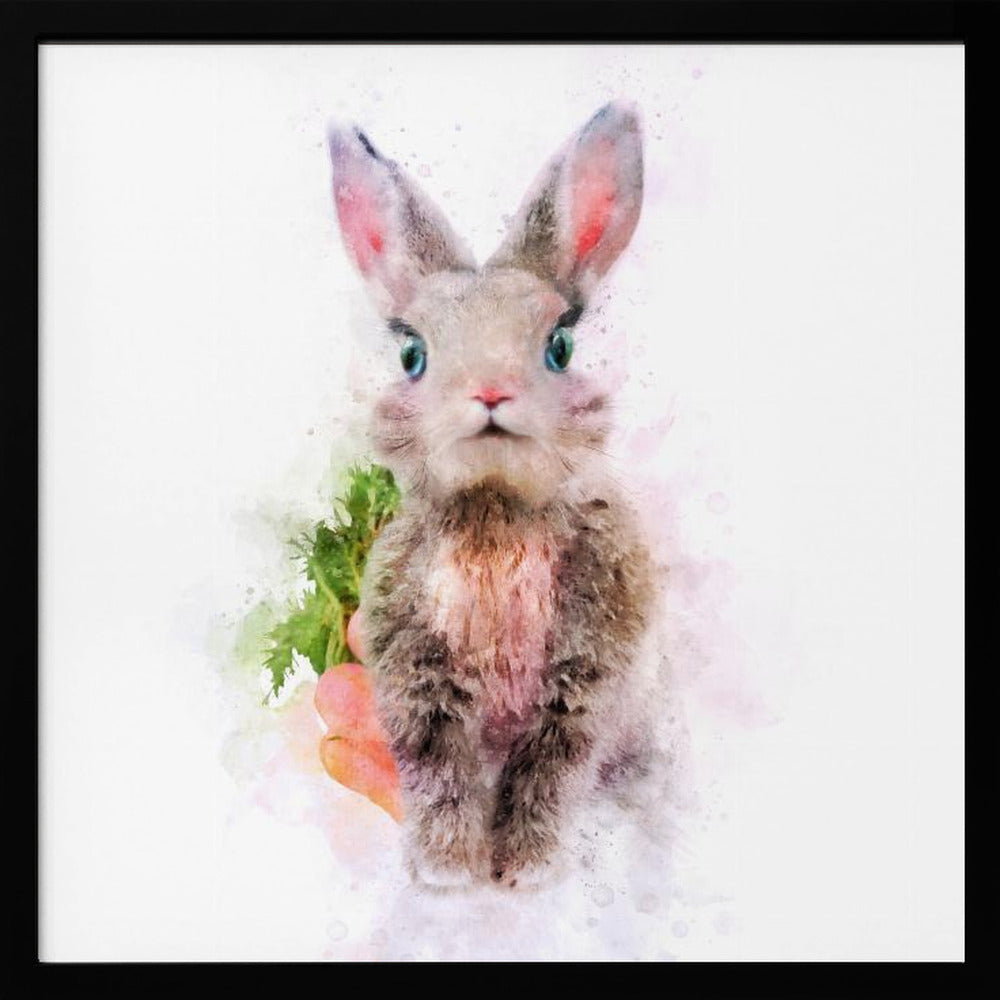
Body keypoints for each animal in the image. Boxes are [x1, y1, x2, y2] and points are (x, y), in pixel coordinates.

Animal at [326, 101, 656, 889]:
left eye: (560, 346)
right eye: (412, 355)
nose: (490, 391)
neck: (495, 514)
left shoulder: (584, 685)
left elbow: (548, 776)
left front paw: (524, 872)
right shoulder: (419, 683)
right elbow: (441, 779)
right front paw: (450, 873)